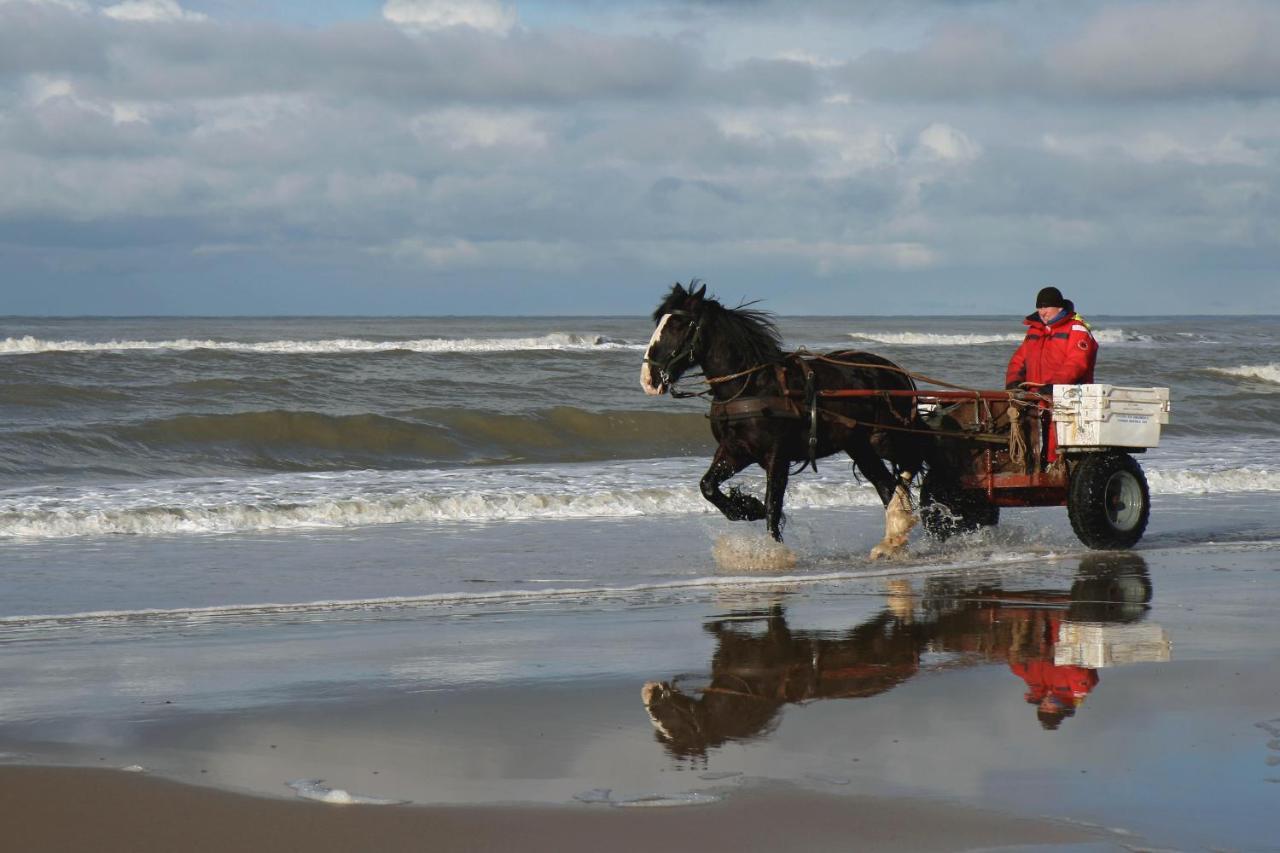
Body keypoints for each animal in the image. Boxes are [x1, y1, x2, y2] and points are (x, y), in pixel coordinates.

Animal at [640, 280, 942, 558]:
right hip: (859, 445)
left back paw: (902, 520)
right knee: (886, 485)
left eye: (678, 324)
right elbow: (708, 487)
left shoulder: (777, 455)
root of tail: (894, 371)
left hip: (886, 436)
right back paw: (892, 536)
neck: (752, 385)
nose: (648, 379)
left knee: (914, 459)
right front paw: (746, 508)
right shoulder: (735, 450)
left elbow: (773, 504)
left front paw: (774, 551)